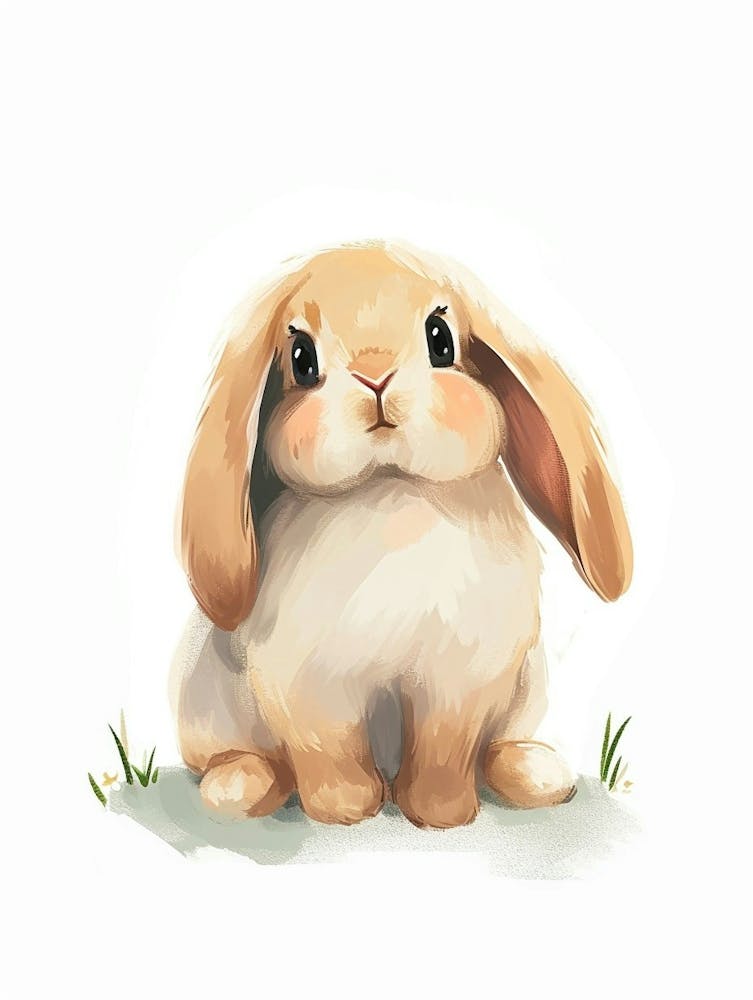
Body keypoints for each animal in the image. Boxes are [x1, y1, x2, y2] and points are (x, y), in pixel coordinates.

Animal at [169, 241, 633, 829]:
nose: (376, 376)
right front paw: (347, 812)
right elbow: (331, 753)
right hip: (207, 712)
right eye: (301, 358)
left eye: (441, 339)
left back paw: (539, 776)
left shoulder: (460, 683)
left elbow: (443, 752)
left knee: (497, 749)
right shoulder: (310, 688)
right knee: (241, 757)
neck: (391, 487)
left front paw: (443, 815)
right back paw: (239, 789)